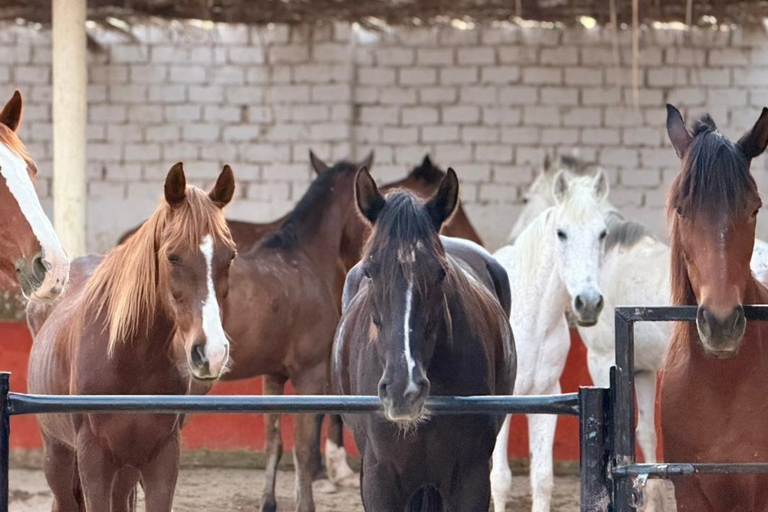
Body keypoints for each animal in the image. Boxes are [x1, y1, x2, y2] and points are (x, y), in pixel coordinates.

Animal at [27, 163, 236, 512]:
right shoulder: (93, 460)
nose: (212, 353)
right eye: (173, 256)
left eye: (230, 256)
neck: (130, 359)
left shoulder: (161, 459)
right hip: (58, 457)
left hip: (125, 469)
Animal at [490, 170, 609, 512]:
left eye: (602, 234)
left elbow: (542, 479)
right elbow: (500, 480)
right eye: (561, 233)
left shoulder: (545, 396)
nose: (588, 302)